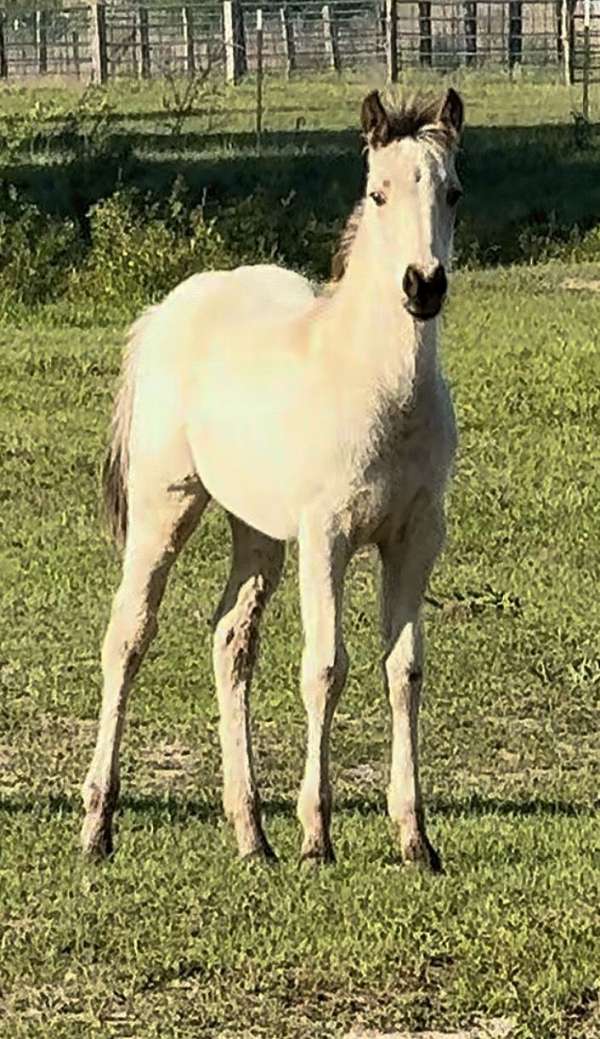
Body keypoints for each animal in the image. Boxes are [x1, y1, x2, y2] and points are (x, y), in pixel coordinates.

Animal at [81, 87, 464, 871]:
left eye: (453, 193)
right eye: (377, 193)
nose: (423, 286)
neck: (378, 388)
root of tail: (165, 309)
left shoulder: (416, 537)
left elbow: (404, 670)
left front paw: (416, 839)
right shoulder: (328, 535)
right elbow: (325, 668)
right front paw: (317, 836)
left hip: (255, 526)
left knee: (231, 640)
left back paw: (251, 833)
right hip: (166, 503)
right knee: (128, 636)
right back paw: (98, 827)